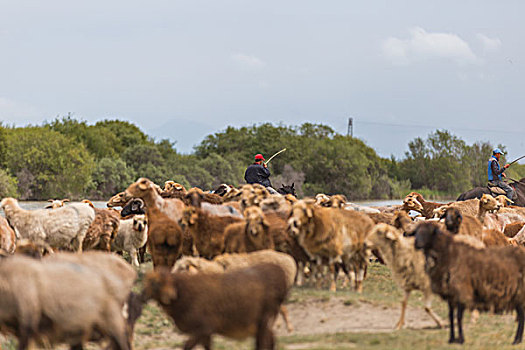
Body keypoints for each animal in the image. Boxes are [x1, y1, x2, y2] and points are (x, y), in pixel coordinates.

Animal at [141, 264, 288, 348]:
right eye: (155, 283)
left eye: (171, 280)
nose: (171, 296)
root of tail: (280, 273)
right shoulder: (205, 333)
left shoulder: (204, 328)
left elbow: (186, 346)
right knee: (270, 340)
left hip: (265, 318)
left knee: (264, 343)